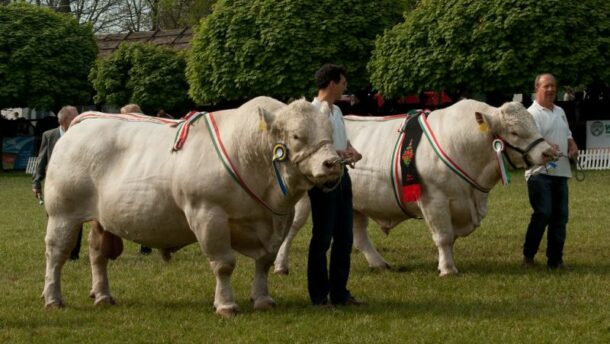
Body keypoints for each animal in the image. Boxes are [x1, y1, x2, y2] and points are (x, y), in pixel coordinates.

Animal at [42, 97, 342, 318]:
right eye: (296, 136)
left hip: (100, 219)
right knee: (56, 254)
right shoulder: (208, 214)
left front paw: (262, 299)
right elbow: (224, 264)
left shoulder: (276, 221)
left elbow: (265, 262)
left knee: (97, 255)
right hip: (62, 214)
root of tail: (84, 121)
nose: (333, 163)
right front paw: (226, 305)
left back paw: (103, 295)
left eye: (329, 132)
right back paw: (53, 298)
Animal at [274, 98, 556, 276]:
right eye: (514, 132)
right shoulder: (434, 200)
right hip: (304, 201)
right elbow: (443, 236)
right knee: (292, 229)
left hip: (356, 202)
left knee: (360, 235)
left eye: (533, 124)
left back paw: (380, 264)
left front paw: (444, 263)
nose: (547, 152)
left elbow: (451, 236)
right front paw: (448, 269)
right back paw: (280, 265)